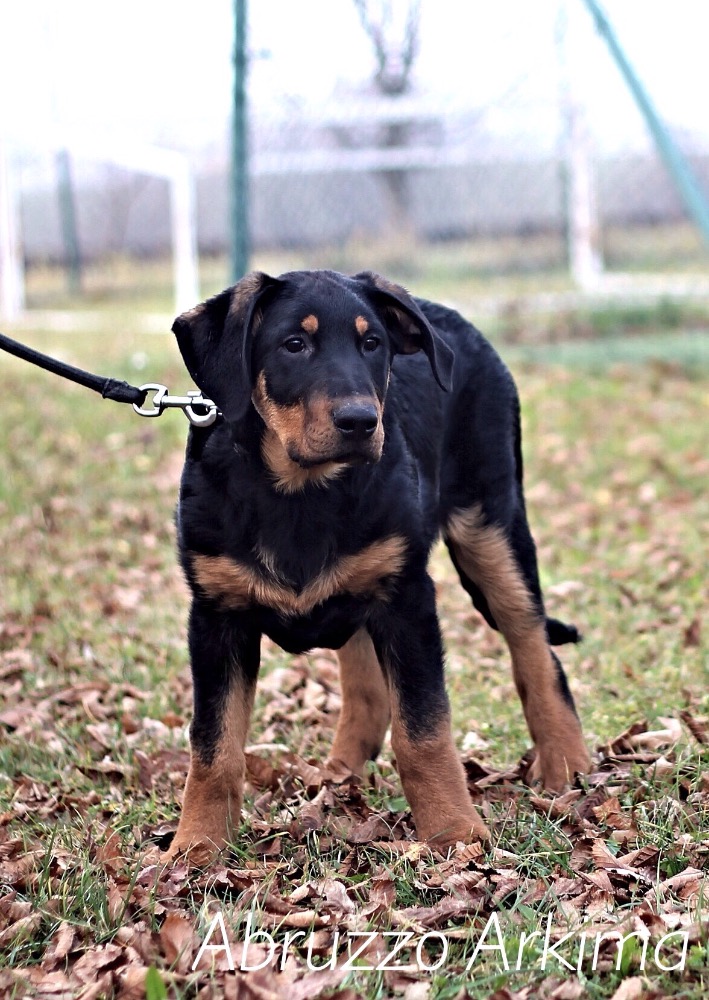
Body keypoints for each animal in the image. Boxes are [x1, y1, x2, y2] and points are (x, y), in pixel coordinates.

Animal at [167, 272, 592, 860]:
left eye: (373, 344)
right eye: (293, 344)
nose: (360, 422)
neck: (299, 494)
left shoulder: (407, 598)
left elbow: (423, 732)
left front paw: (454, 834)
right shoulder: (215, 614)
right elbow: (214, 746)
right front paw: (195, 851)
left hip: (491, 524)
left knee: (533, 646)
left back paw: (566, 764)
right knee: (366, 685)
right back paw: (340, 776)